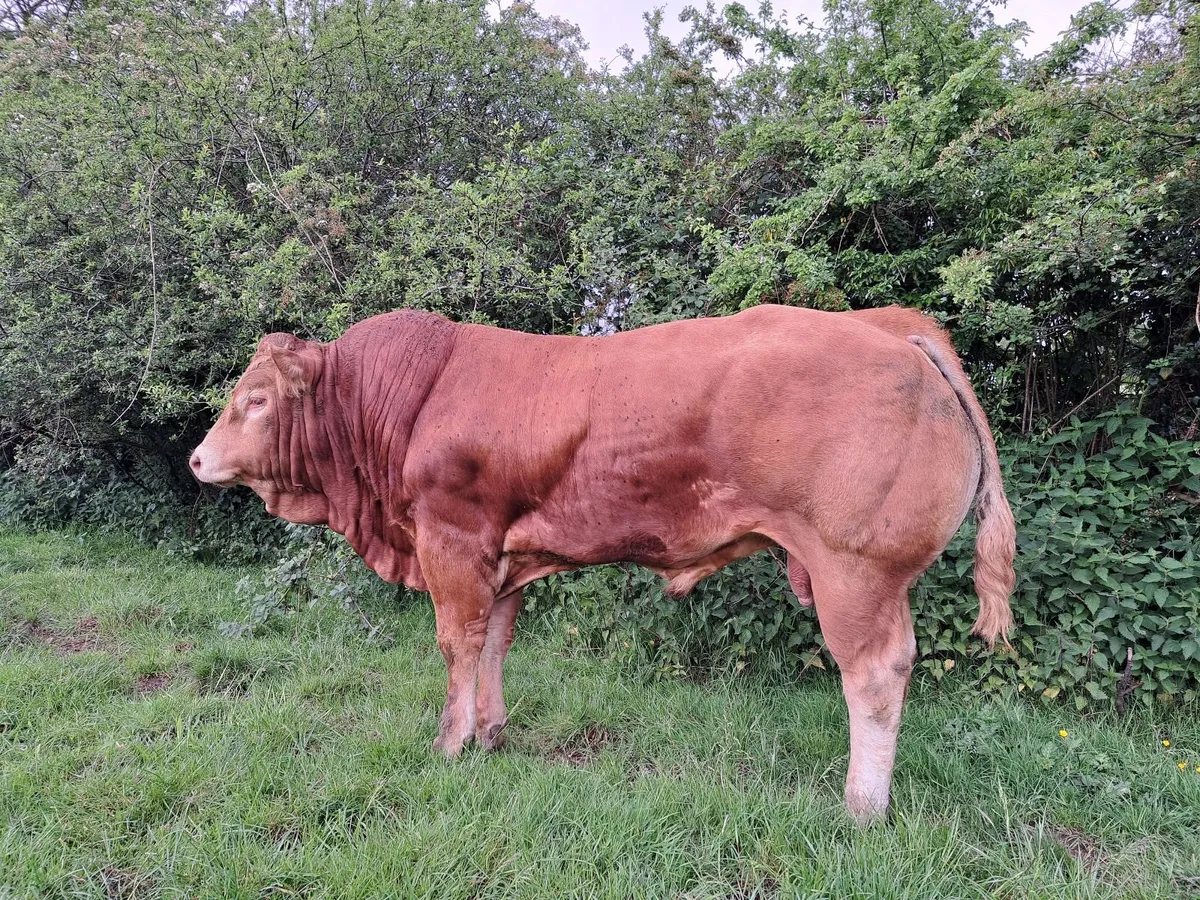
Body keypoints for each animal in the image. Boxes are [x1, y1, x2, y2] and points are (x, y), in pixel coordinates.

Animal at [190, 303, 1016, 823]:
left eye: (255, 399)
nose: (197, 457)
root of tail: (887, 325)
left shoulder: (451, 539)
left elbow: (458, 644)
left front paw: (451, 742)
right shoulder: (500, 553)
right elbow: (495, 642)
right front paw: (492, 732)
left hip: (854, 570)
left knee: (873, 676)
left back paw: (861, 809)